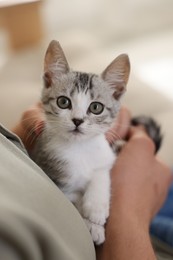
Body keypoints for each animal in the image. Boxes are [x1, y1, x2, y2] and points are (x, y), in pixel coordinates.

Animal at [29, 40, 130, 244]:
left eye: (96, 107)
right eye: (63, 102)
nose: (77, 120)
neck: (80, 148)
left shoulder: (104, 155)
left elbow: (101, 173)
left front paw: (97, 209)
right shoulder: (51, 170)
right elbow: (73, 197)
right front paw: (91, 225)